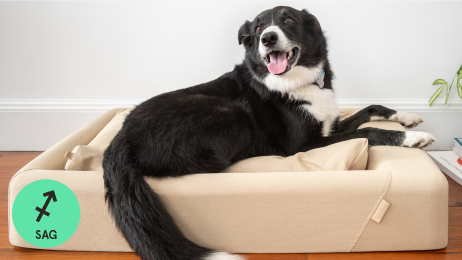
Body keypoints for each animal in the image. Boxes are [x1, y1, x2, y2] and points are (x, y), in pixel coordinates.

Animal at [103, 5, 434, 260]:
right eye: (259, 27)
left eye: (288, 20)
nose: (268, 37)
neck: (296, 82)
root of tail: (118, 141)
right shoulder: (305, 145)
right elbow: (368, 131)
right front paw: (409, 138)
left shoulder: (331, 124)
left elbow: (369, 109)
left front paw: (407, 118)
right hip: (233, 114)